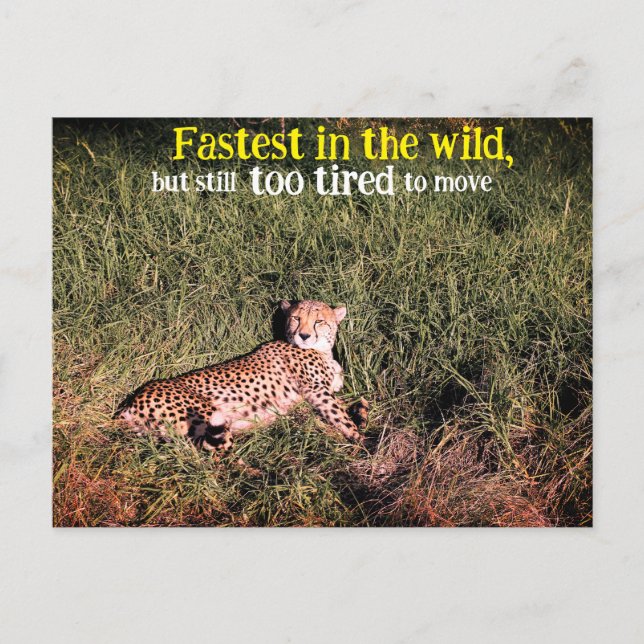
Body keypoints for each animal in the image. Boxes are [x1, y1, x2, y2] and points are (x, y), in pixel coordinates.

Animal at [117, 299, 368, 453]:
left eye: (319, 321)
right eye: (296, 319)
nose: (304, 336)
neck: (322, 351)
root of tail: (132, 402)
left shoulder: (315, 396)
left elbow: (350, 404)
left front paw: (361, 414)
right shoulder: (316, 391)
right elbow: (342, 418)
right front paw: (362, 443)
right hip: (206, 415)